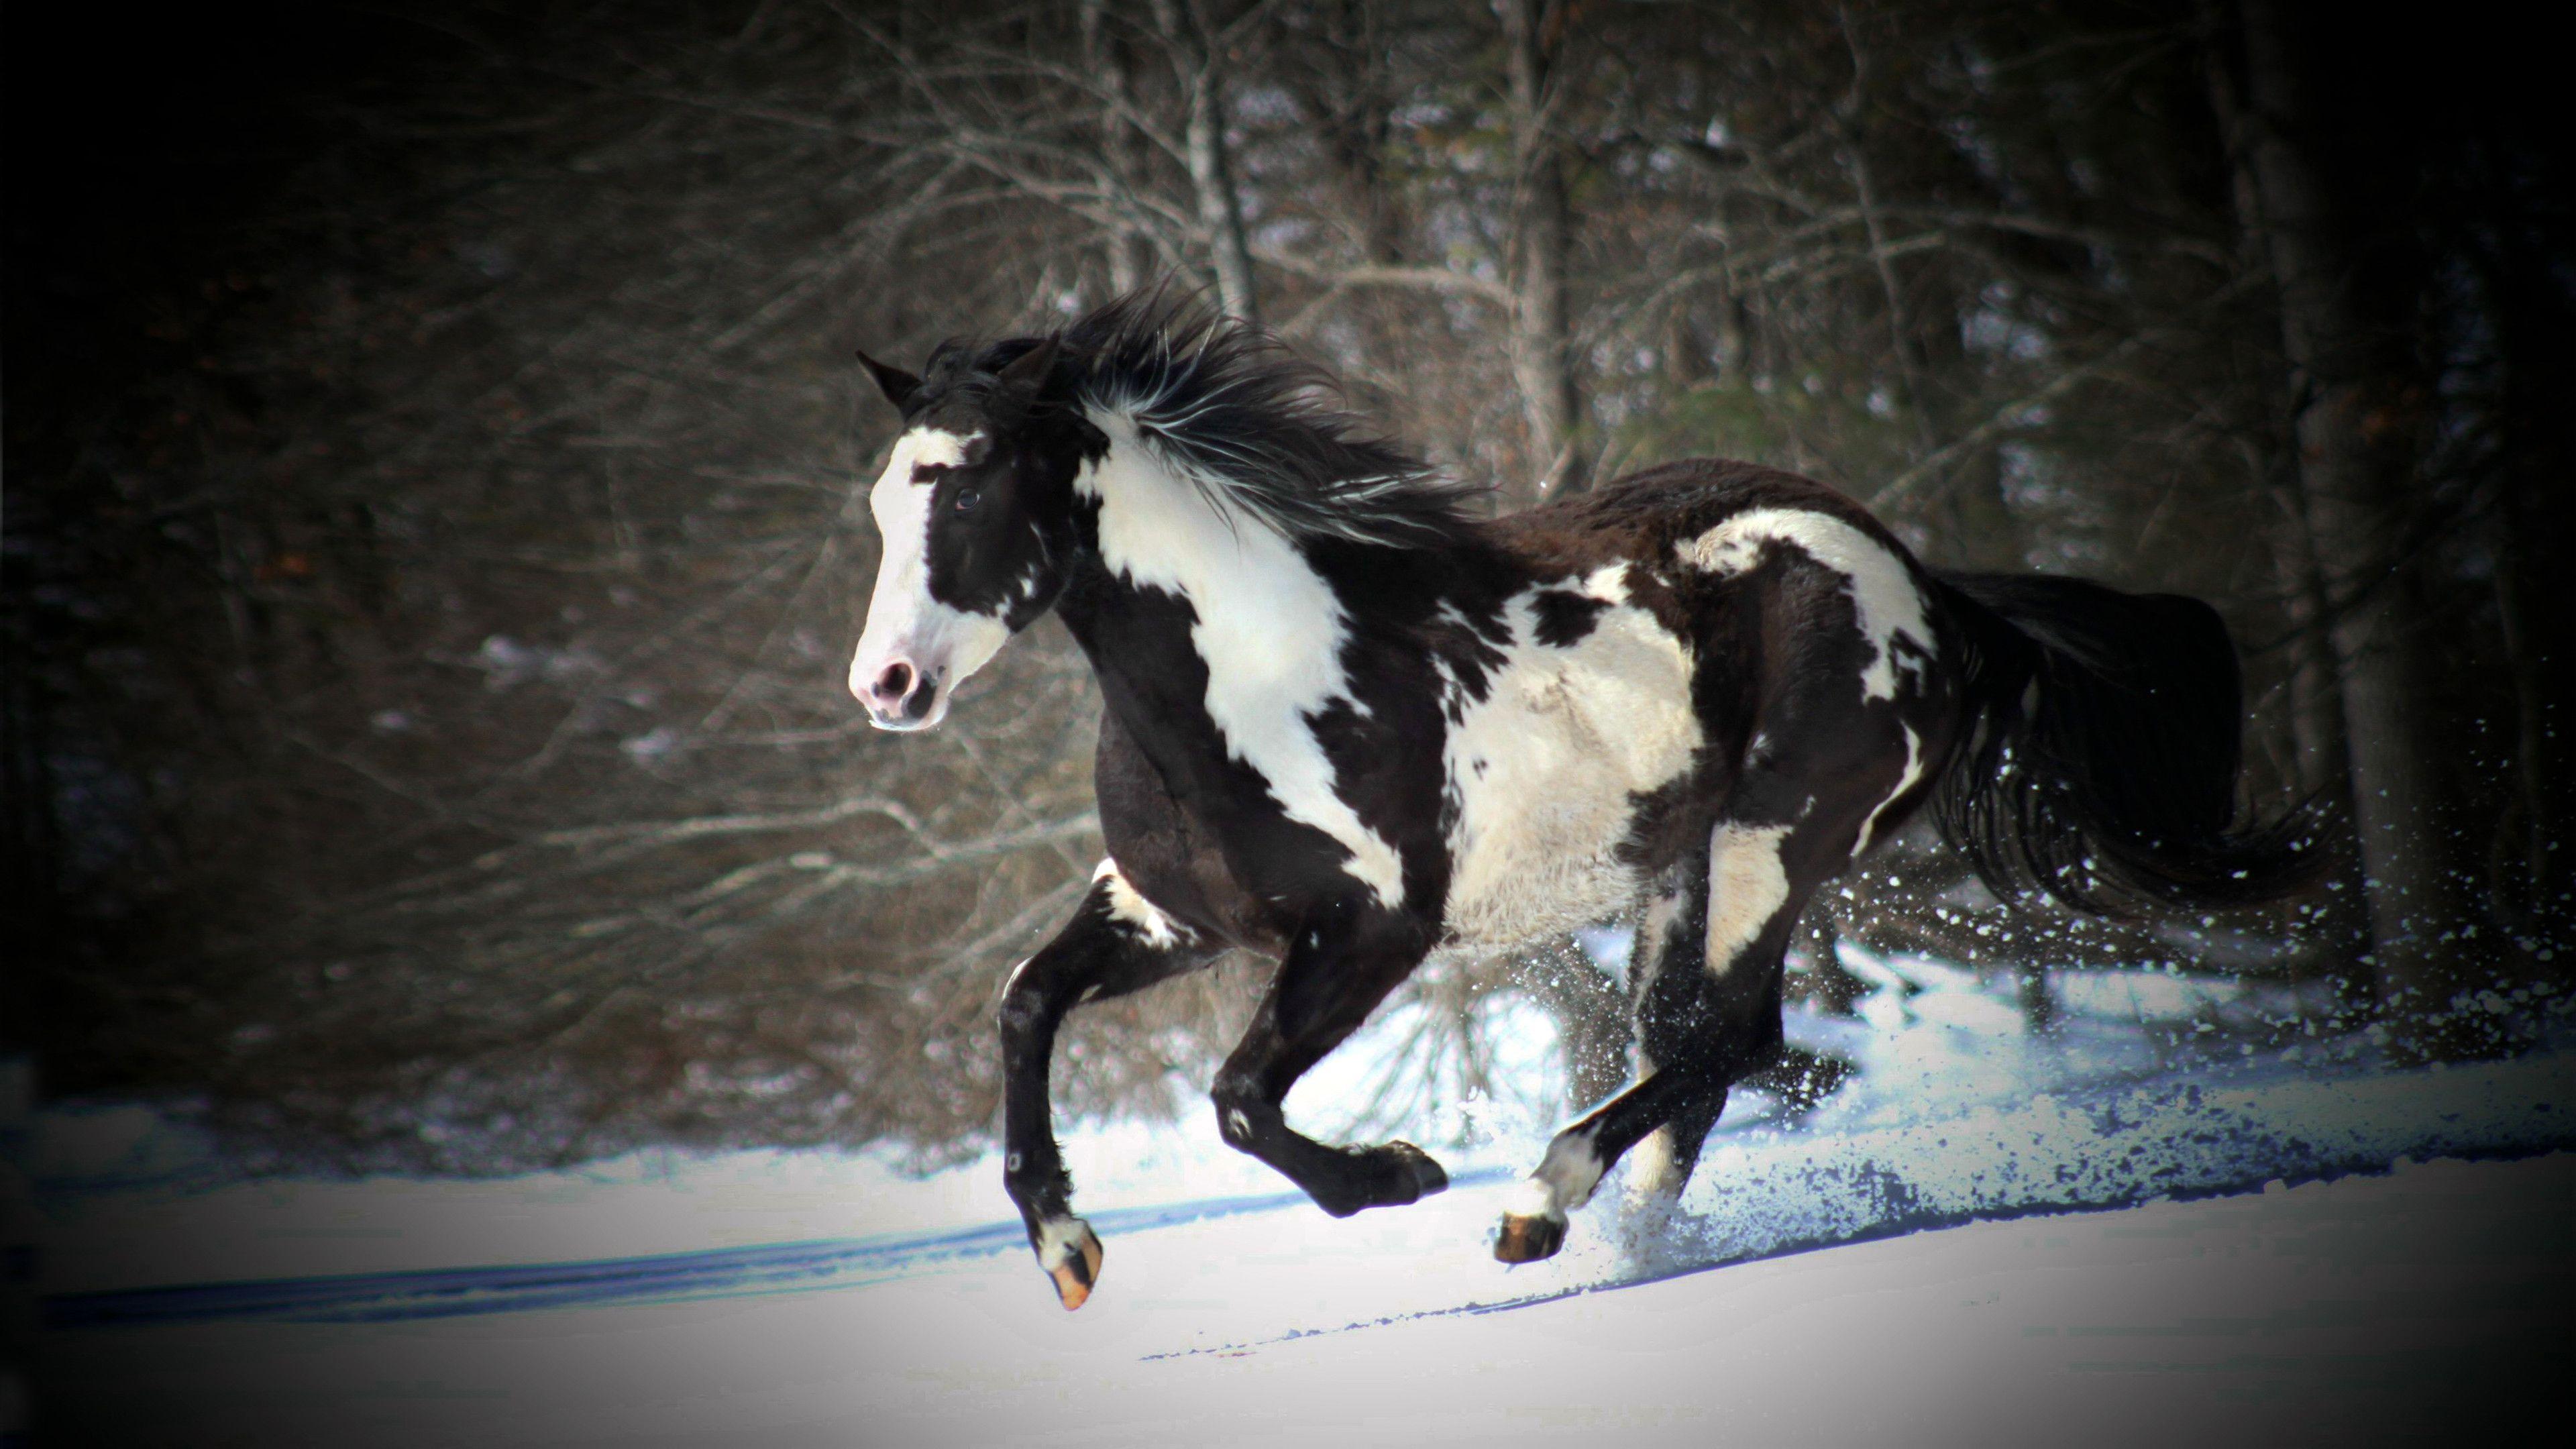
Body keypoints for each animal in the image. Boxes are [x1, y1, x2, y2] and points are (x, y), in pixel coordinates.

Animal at [843, 291, 2311, 1310]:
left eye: (968, 483)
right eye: (879, 499)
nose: (887, 685)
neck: (1260, 674)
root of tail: (1929, 591)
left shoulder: (1373, 931)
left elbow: (1242, 1101)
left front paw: (1402, 1173)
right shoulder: (1172, 914)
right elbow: (1027, 1007)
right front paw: (1067, 1248)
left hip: (1775, 842)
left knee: (1733, 1038)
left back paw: (1541, 1205)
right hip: (1679, 864)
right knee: (1692, 1050)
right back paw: (1625, 1241)